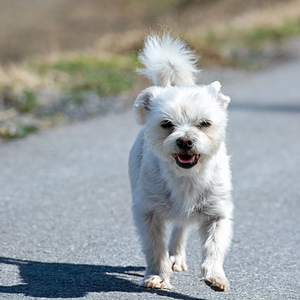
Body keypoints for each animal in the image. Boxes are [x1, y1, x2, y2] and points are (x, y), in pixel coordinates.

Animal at [127, 34, 233, 292]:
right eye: (167, 124)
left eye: (204, 123)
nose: (185, 140)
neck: (186, 178)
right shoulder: (147, 212)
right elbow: (155, 247)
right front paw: (157, 276)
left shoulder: (218, 213)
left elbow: (214, 245)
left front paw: (215, 276)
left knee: (180, 227)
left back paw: (176, 256)